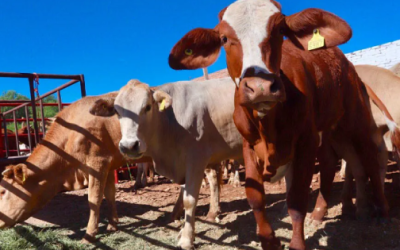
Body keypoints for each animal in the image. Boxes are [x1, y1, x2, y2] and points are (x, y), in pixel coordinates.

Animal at [168, 0, 388, 249]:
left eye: (280, 30)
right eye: (224, 38)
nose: (260, 87)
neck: (269, 126)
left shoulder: (305, 141)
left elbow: (297, 199)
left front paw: (297, 243)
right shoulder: (248, 144)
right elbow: (255, 197)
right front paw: (269, 240)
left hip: (356, 119)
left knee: (369, 158)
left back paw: (381, 210)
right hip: (331, 129)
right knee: (330, 163)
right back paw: (321, 213)